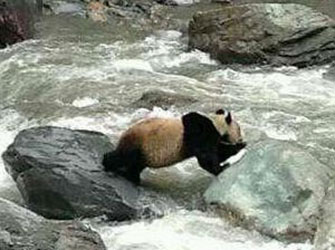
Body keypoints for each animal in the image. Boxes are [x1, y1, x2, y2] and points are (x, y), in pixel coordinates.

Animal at [102, 109, 247, 184]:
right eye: (239, 129)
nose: (241, 138)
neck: (216, 123)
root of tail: (123, 134)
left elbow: (218, 152)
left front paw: (240, 147)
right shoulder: (199, 132)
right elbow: (206, 156)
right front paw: (222, 167)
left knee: (135, 165)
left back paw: (132, 177)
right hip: (139, 143)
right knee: (124, 156)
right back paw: (108, 164)